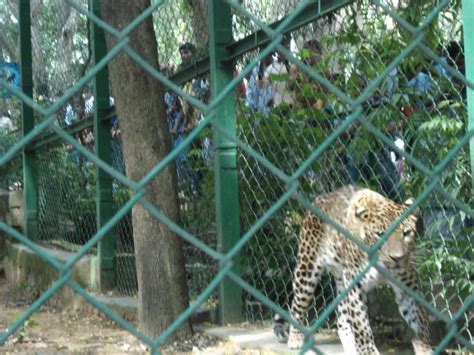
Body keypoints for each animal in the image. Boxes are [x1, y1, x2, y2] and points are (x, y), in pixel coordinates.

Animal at [274, 186, 434, 355]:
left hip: (342, 279)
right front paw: (368, 351)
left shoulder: (408, 286)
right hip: (307, 269)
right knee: (297, 304)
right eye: (380, 234)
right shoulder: (355, 285)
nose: (397, 258)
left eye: (406, 233)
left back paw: (351, 346)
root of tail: (321, 197)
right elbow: (361, 325)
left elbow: (420, 317)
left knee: (342, 319)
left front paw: (424, 346)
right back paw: (295, 338)